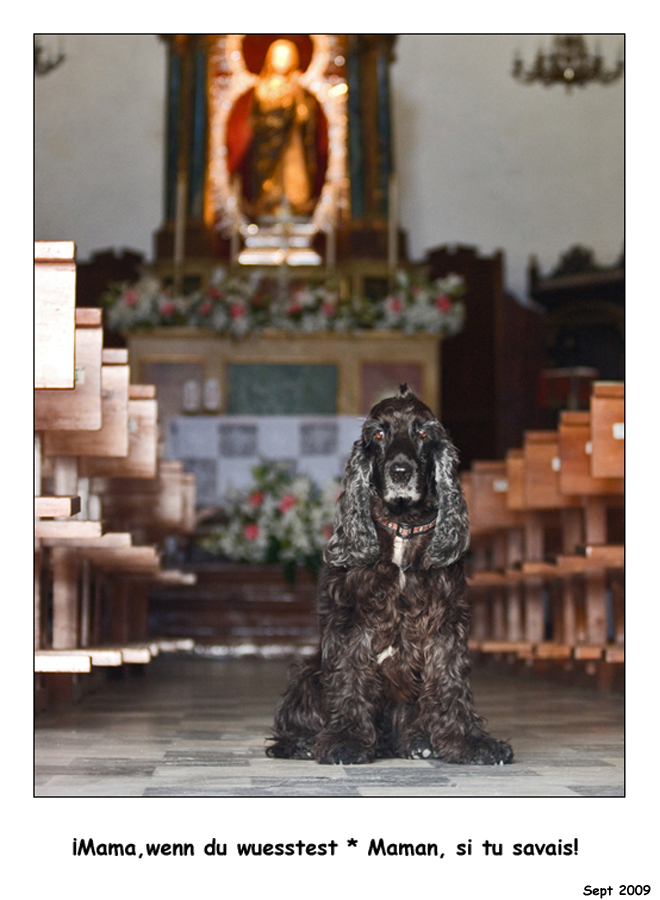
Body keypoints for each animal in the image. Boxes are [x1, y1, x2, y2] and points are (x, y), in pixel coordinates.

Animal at [266, 384, 512, 768]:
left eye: (423, 434)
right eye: (379, 435)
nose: (400, 471)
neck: (402, 530)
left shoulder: (445, 625)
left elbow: (451, 683)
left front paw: (468, 742)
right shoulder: (349, 624)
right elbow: (350, 680)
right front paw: (346, 741)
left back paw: (418, 742)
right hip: (308, 673)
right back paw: (304, 743)